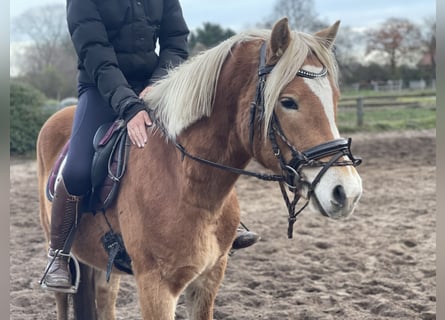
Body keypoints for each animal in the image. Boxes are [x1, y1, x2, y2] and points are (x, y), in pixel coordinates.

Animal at [36, 18, 362, 320]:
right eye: (288, 102)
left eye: (335, 99)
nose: (347, 191)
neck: (188, 184)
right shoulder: (156, 287)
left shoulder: (209, 278)